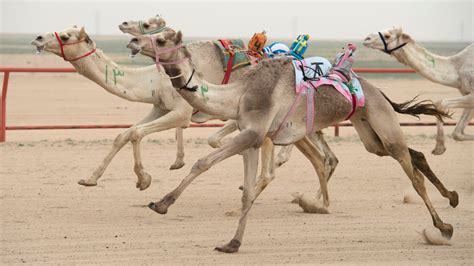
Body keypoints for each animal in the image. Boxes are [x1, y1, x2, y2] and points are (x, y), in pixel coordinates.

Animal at [131, 30, 460, 252]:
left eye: (162, 39)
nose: (133, 42)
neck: (240, 93)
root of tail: (377, 90)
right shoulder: (252, 138)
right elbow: (247, 191)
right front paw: (232, 243)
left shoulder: (253, 133)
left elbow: (203, 163)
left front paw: (161, 203)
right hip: (369, 132)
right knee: (411, 154)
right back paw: (453, 197)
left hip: (382, 121)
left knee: (412, 175)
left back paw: (443, 228)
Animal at [362, 26, 470, 155]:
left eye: (387, 36)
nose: (366, 38)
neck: (456, 69)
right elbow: (457, 133)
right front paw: (439, 148)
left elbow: (441, 104)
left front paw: (439, 148)